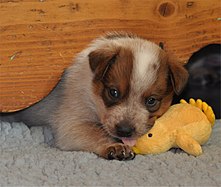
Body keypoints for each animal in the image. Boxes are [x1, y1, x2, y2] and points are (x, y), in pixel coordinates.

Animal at [0, 32, 188, 161]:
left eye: (151, 101)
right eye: (113, 92)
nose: (124, 131)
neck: (93, 97)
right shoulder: (73, 124)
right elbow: (96, 133)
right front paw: (113, 146)